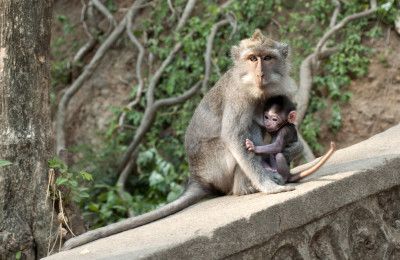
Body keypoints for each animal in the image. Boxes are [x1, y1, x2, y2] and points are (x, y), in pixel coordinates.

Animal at [62, 30, 302, 250]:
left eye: (267, 58)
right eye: (252, 58)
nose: (260, 73)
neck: (256, 90)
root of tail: (196, 176)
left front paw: (292, 149)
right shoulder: (238, 97)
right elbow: (233, 136)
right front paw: (268, 186)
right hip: (215, 166)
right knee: (243, 133)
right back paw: (245, 187)